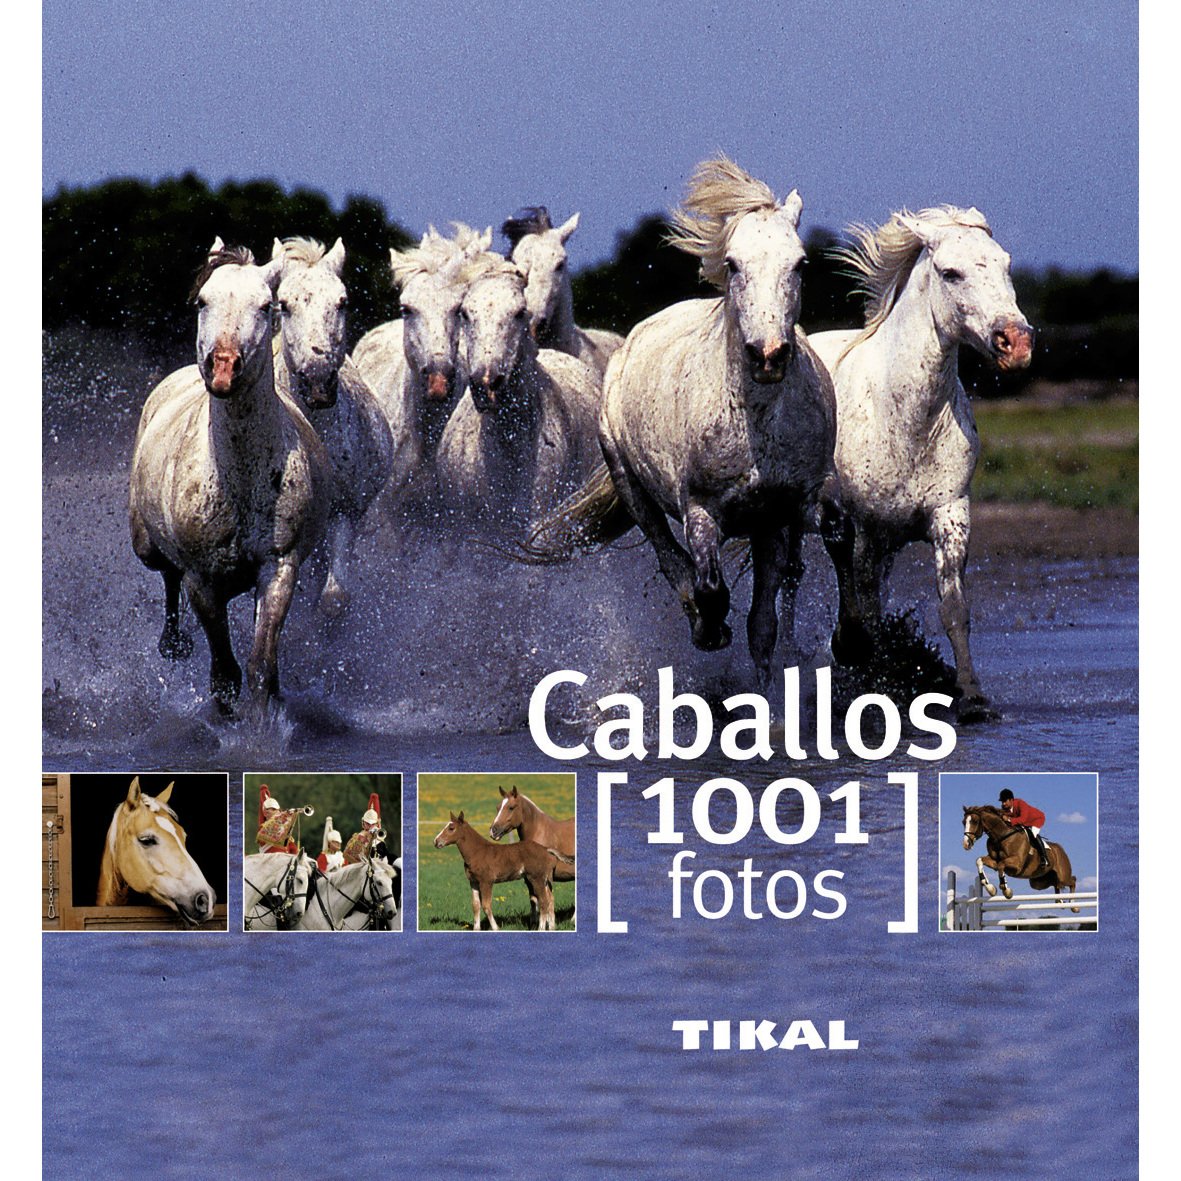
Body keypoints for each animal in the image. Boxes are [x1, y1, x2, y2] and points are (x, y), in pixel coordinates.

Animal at [129, 240, 332, 719]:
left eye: (265, 306)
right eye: (203, 301)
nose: (223, 368)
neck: (239, 479)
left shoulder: (279, 567)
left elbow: (260, 666)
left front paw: (263, 726)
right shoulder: (203, 580)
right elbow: (224, 675)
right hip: (146, 545)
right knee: (167, 575)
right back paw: (173, 645)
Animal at [433, 811, 570, 931]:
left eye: (451, 828)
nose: (436, 841)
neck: (477, 852)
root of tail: (546, 849)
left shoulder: (486, 881)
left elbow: (486, 905)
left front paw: (495, 928)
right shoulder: (473, 882)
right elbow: (476, 905)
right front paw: (476, 929)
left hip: (536, 879)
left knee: (543, 902)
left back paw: (541, 929)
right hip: (544, 880)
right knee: (550, 900)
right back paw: (551, 927)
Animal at [524, 157, 837, 689]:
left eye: (799, 264)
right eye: (733, 264)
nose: (768, 355)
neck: (756, 425)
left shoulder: (777, 516)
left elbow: (763, 626)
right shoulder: (701, 510)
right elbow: (708, 585)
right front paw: (710, 629)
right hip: (631, 486)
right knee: (669, 556)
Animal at [808, 207, 1035, 721]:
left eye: (1006, 264)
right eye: (951, 273)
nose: (1016, 343)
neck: (905, 422)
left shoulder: (949, 515)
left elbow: (954, 608)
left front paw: (971, 697)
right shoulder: (864, 529)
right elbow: (866, 610)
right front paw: (872, 687)